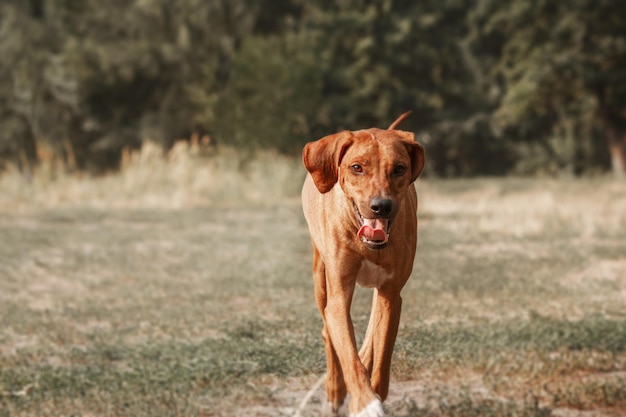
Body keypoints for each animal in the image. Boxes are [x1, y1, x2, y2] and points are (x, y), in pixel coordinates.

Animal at [298, 112, 424, 414]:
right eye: (356, 167)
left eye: (399, 168)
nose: (381, 206)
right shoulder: (338, 296)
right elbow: (346, 349)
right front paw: (365, 402)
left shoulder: (391, 294)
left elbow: (382, 347)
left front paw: (374, 390)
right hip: (320, 276)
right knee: (328, 332)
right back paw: (335, 388)